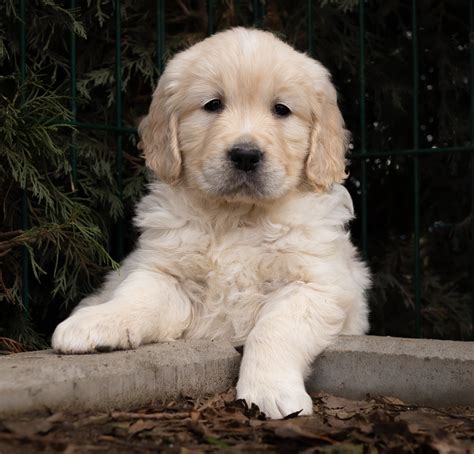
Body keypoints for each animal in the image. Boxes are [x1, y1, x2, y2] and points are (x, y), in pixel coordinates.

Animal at [52, 27, 370, 418]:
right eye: (213, 105)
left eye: (281, 110)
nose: (245, 155)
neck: (236, 215)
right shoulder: (164, 273)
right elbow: (135, 297)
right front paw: (97, 321)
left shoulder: (316, 285)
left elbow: (273, 329)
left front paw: (269, 391)